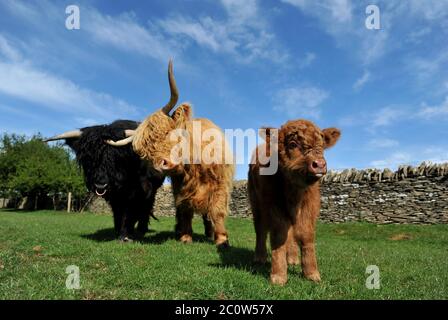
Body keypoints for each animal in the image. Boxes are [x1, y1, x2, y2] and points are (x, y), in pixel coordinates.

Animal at [248, 119, 340, 284]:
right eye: (292, 144)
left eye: (322, 145)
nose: (319, 164)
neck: (294, 192)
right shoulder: (273, 204)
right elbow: (279, 234)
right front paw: (278, 275)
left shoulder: (310, 204)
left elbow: (305, 234)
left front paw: (311, 273)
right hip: (256, 203)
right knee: (260, 229)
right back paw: (260, 257)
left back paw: (292, 258)